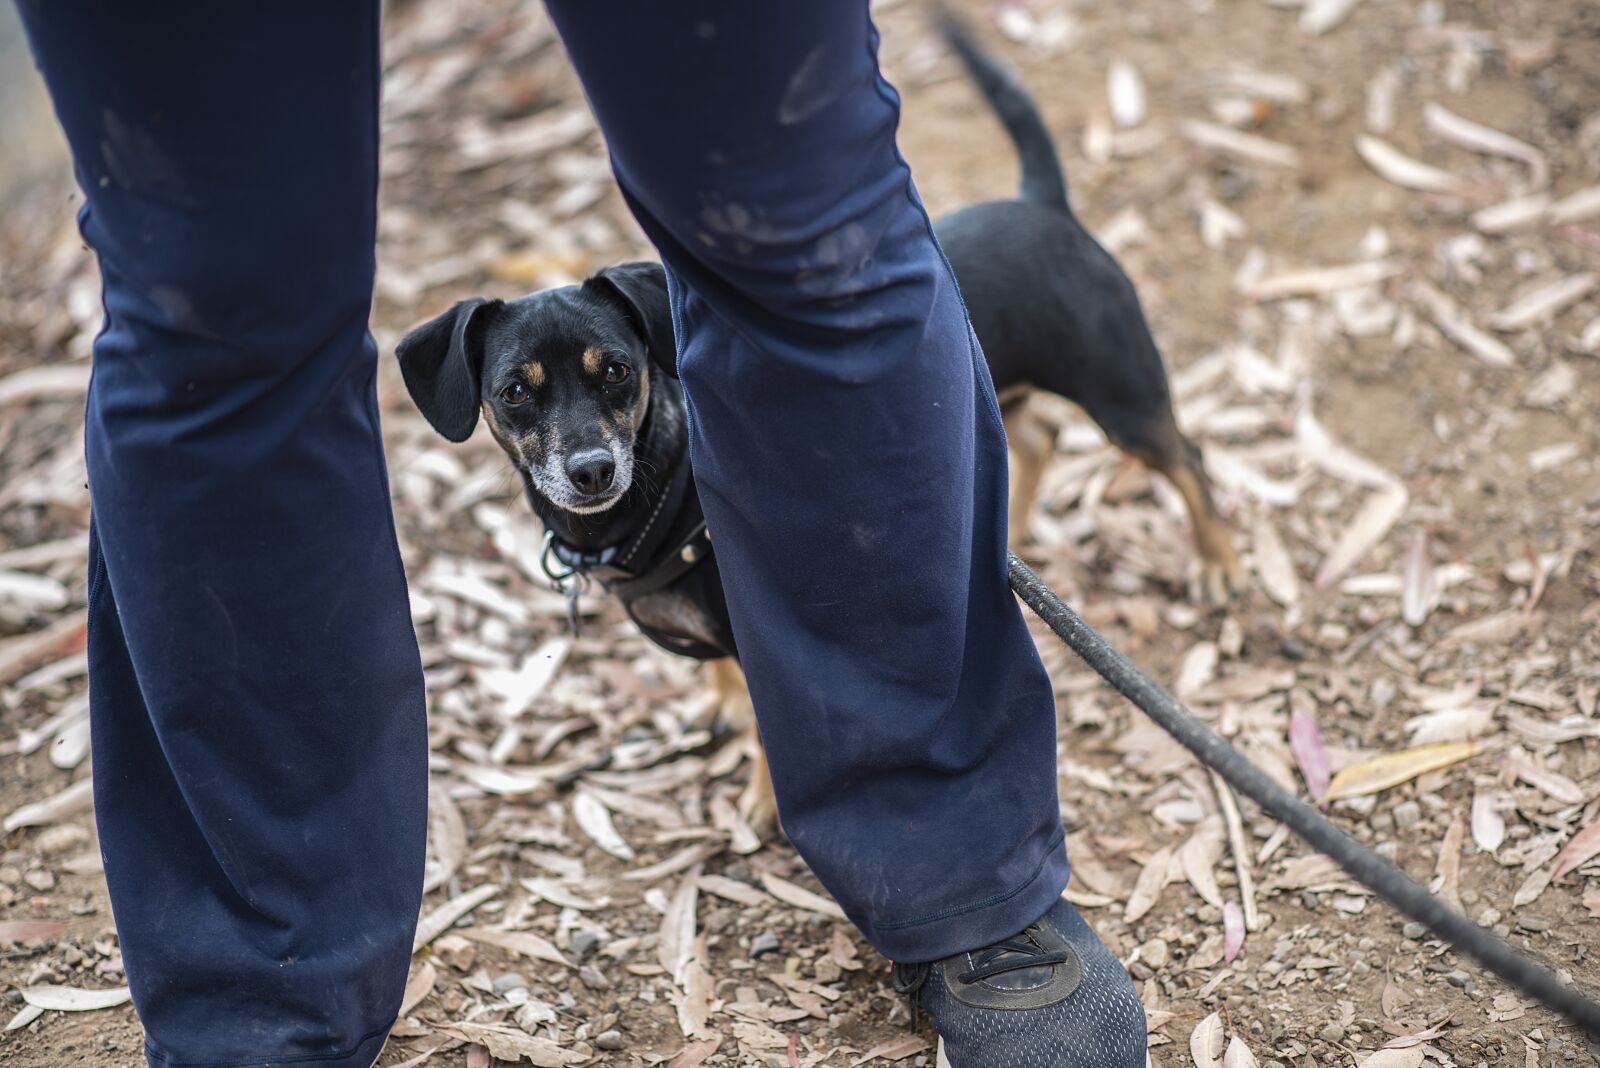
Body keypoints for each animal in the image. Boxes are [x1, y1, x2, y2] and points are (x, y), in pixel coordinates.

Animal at [396, 14, 1235, 831]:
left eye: (618, 372)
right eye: (514, 391)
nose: (592, 471)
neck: (662, 489)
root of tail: (1043, 203)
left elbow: (780, 733)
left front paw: (764, 804)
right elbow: (727, 678)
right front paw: (719, 709)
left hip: (1120, 394)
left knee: (1186, 458)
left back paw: (1216, 564)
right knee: (1034, 439)